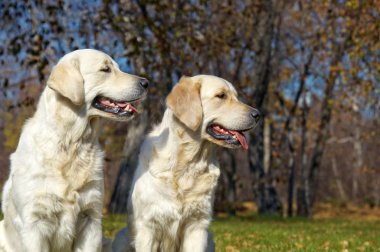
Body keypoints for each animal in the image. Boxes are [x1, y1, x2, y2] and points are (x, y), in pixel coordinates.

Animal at [113, 75, 260, 252]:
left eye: (236, 96)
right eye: (221, 96)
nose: (257, 114)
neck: (188, 163)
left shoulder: (197, 226)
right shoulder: (148, 226)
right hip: (121, 237)